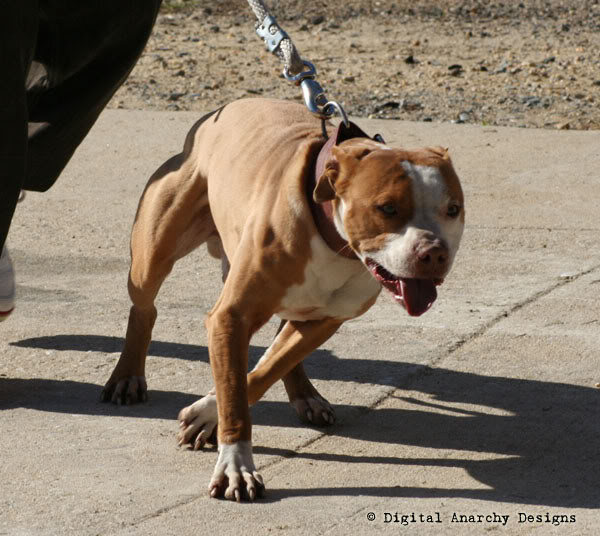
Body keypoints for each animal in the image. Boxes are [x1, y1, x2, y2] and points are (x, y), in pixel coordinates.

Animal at [101, 97, 466, 502]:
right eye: (387, 208)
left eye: (453, 209)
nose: (434, 252)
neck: (334, 241)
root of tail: (216, 115)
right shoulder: (231, 316)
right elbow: (236, 391)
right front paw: (235, 466)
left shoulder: (326, 320)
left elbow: (261, 373)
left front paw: (207, 414)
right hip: (153, 256)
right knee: (144, 308)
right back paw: (128, 376)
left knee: (282, 345)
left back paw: (306, 396)